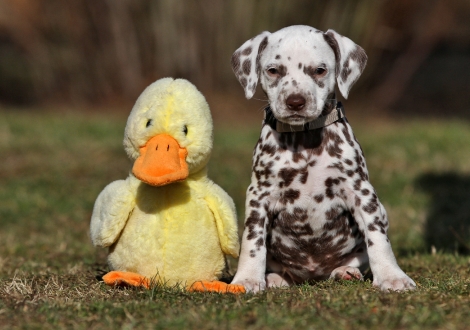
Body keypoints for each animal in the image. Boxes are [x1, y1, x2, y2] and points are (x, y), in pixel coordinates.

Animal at [229, 27, 416, 292]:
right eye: (273, 70)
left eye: (320, 70)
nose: (295, 102)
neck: (304, 140)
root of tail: (313, 275)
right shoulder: (259, 195)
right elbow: (253, 241)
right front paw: (246, 279)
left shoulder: (361, 191)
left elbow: (378, 238)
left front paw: (392, 276)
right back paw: (276, 278)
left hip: (380, 211)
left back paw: (345, 271)